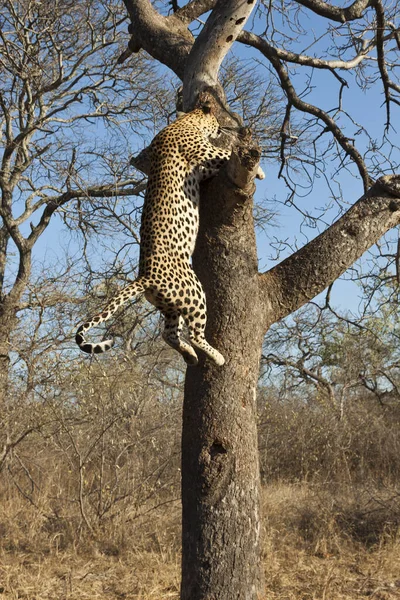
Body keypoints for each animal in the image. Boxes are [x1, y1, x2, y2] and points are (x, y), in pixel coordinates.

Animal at [76, 102, 262, 366]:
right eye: (217, 121)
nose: (221, 128)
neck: (184, 122)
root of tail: (144, 277)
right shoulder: (207, 152)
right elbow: (226, 154)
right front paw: (262, 172)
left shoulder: (203, 168)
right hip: (194, 292)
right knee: (194, 334)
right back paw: (216, 357)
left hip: (171, 305)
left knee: (169, 334)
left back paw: (191, 356)